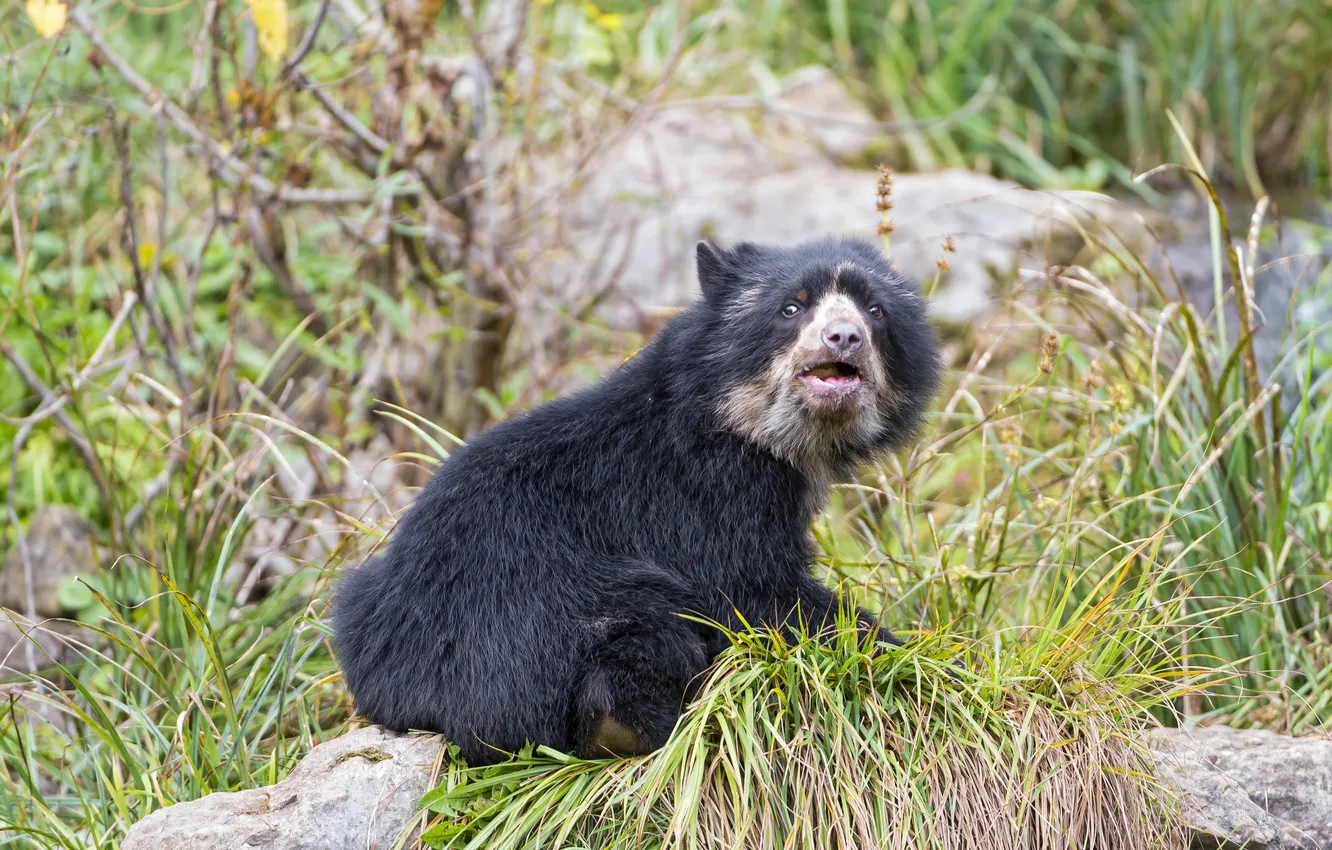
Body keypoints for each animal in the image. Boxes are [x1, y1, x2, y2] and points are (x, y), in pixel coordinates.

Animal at [330, 237, 937, 767]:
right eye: (791, 308)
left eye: (876, 311)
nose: (843, 338)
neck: (757, 430)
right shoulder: (714, 496)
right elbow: (760, 592)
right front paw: (906, 652)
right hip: (564, 616)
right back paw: (624, 725)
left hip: (363, 603)